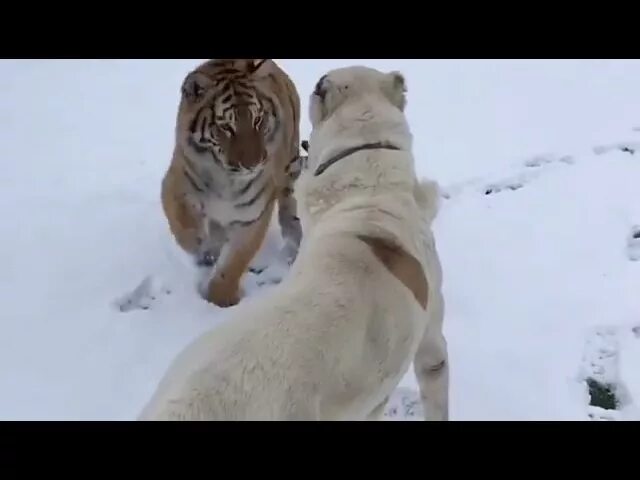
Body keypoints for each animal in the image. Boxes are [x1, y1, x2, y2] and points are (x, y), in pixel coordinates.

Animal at [164, 60, 306, 308]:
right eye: (226, 127)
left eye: (258, 120)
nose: (254, 163)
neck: (225, 179)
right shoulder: (176, 185)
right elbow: (183, 225)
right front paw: (200, 248)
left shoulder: (253, 215)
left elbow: (235, 262)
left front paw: (221, 299)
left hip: (290, 167)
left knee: (288, 204)